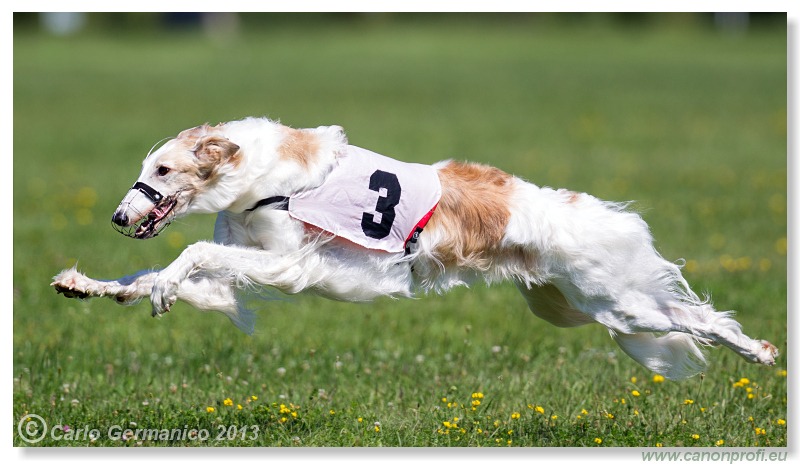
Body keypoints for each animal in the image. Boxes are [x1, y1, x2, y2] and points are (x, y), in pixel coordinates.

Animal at [53, 117, 780, 380]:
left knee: (700, 317)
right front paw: (88, 285)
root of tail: (583, 209)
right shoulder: (244, 260)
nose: (119, 214)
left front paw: (159, 287)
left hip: (619, 301)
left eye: (164, 169)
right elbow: (157, 273)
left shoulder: (287, 259)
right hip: (573, 303)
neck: (264, 176)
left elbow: (188, 261)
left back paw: (761, 350)